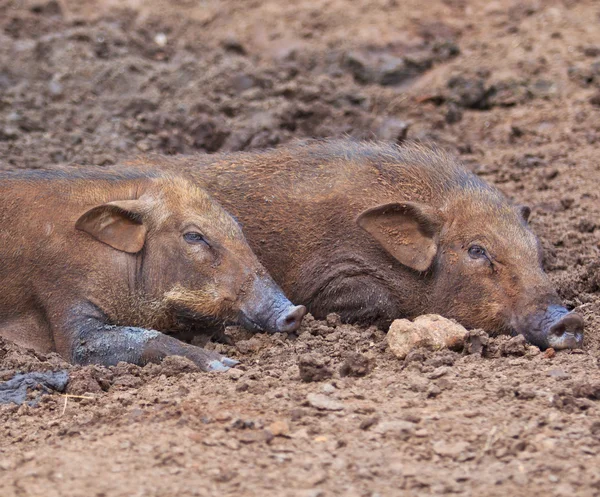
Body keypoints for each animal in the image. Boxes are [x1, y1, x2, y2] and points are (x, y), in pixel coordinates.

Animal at [0, 170, 308, 368]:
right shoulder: (62, 291)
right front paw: (226, 363)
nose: (296, 311)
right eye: (194, 236)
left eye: (237, 226)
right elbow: (95, 343)